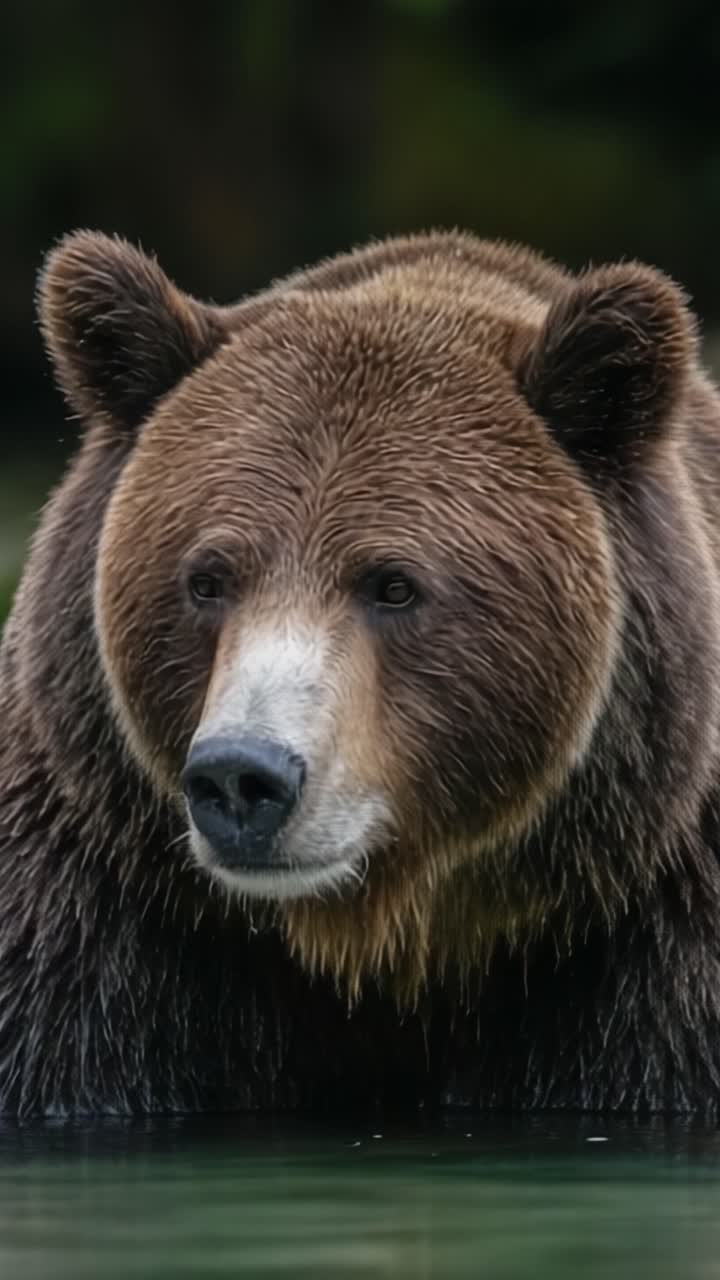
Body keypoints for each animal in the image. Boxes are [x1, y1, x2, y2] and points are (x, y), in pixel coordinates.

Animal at [1, 226, 720, 1119]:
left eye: (394, 584)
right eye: (206, 578)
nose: (243, 775)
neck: (385, 942)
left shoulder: (651, 946)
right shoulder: (98, 912)